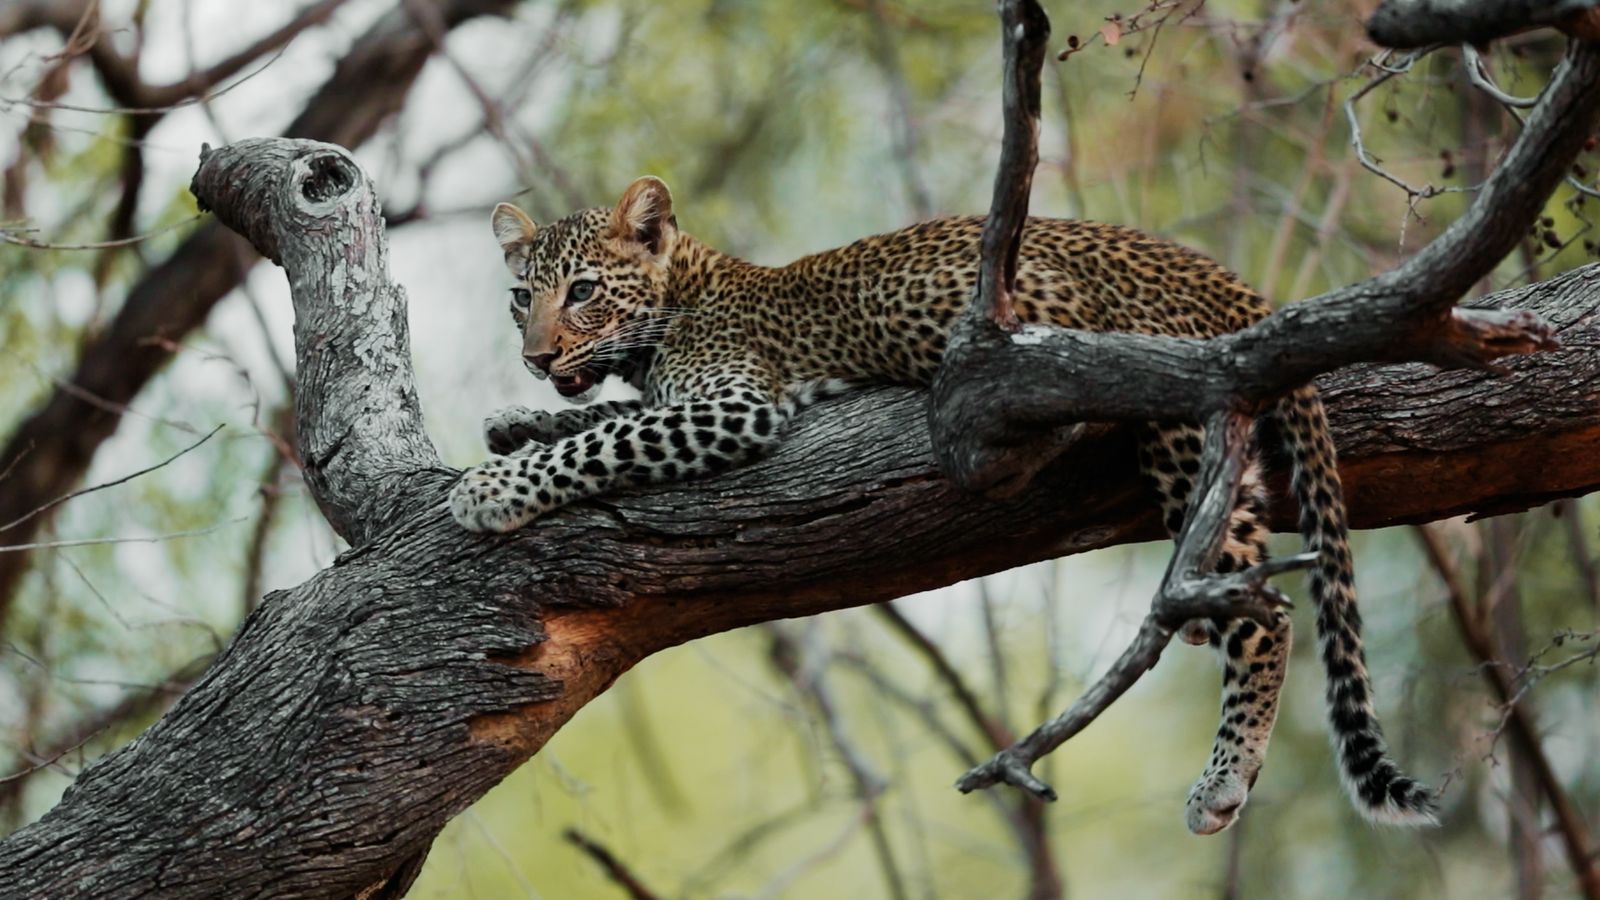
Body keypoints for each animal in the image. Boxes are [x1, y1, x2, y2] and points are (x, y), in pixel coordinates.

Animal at [450, 175, 1438, 834]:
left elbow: (607, 437)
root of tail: (1207, 274)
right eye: (521, 297)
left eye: (583, 291)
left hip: (1154, 408)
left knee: (1266, 608)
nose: (537, 356)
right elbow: (601, 416)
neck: (677, 300)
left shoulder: (733, 404)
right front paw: (511, 422)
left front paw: (489, 491)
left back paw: (1223, 774)